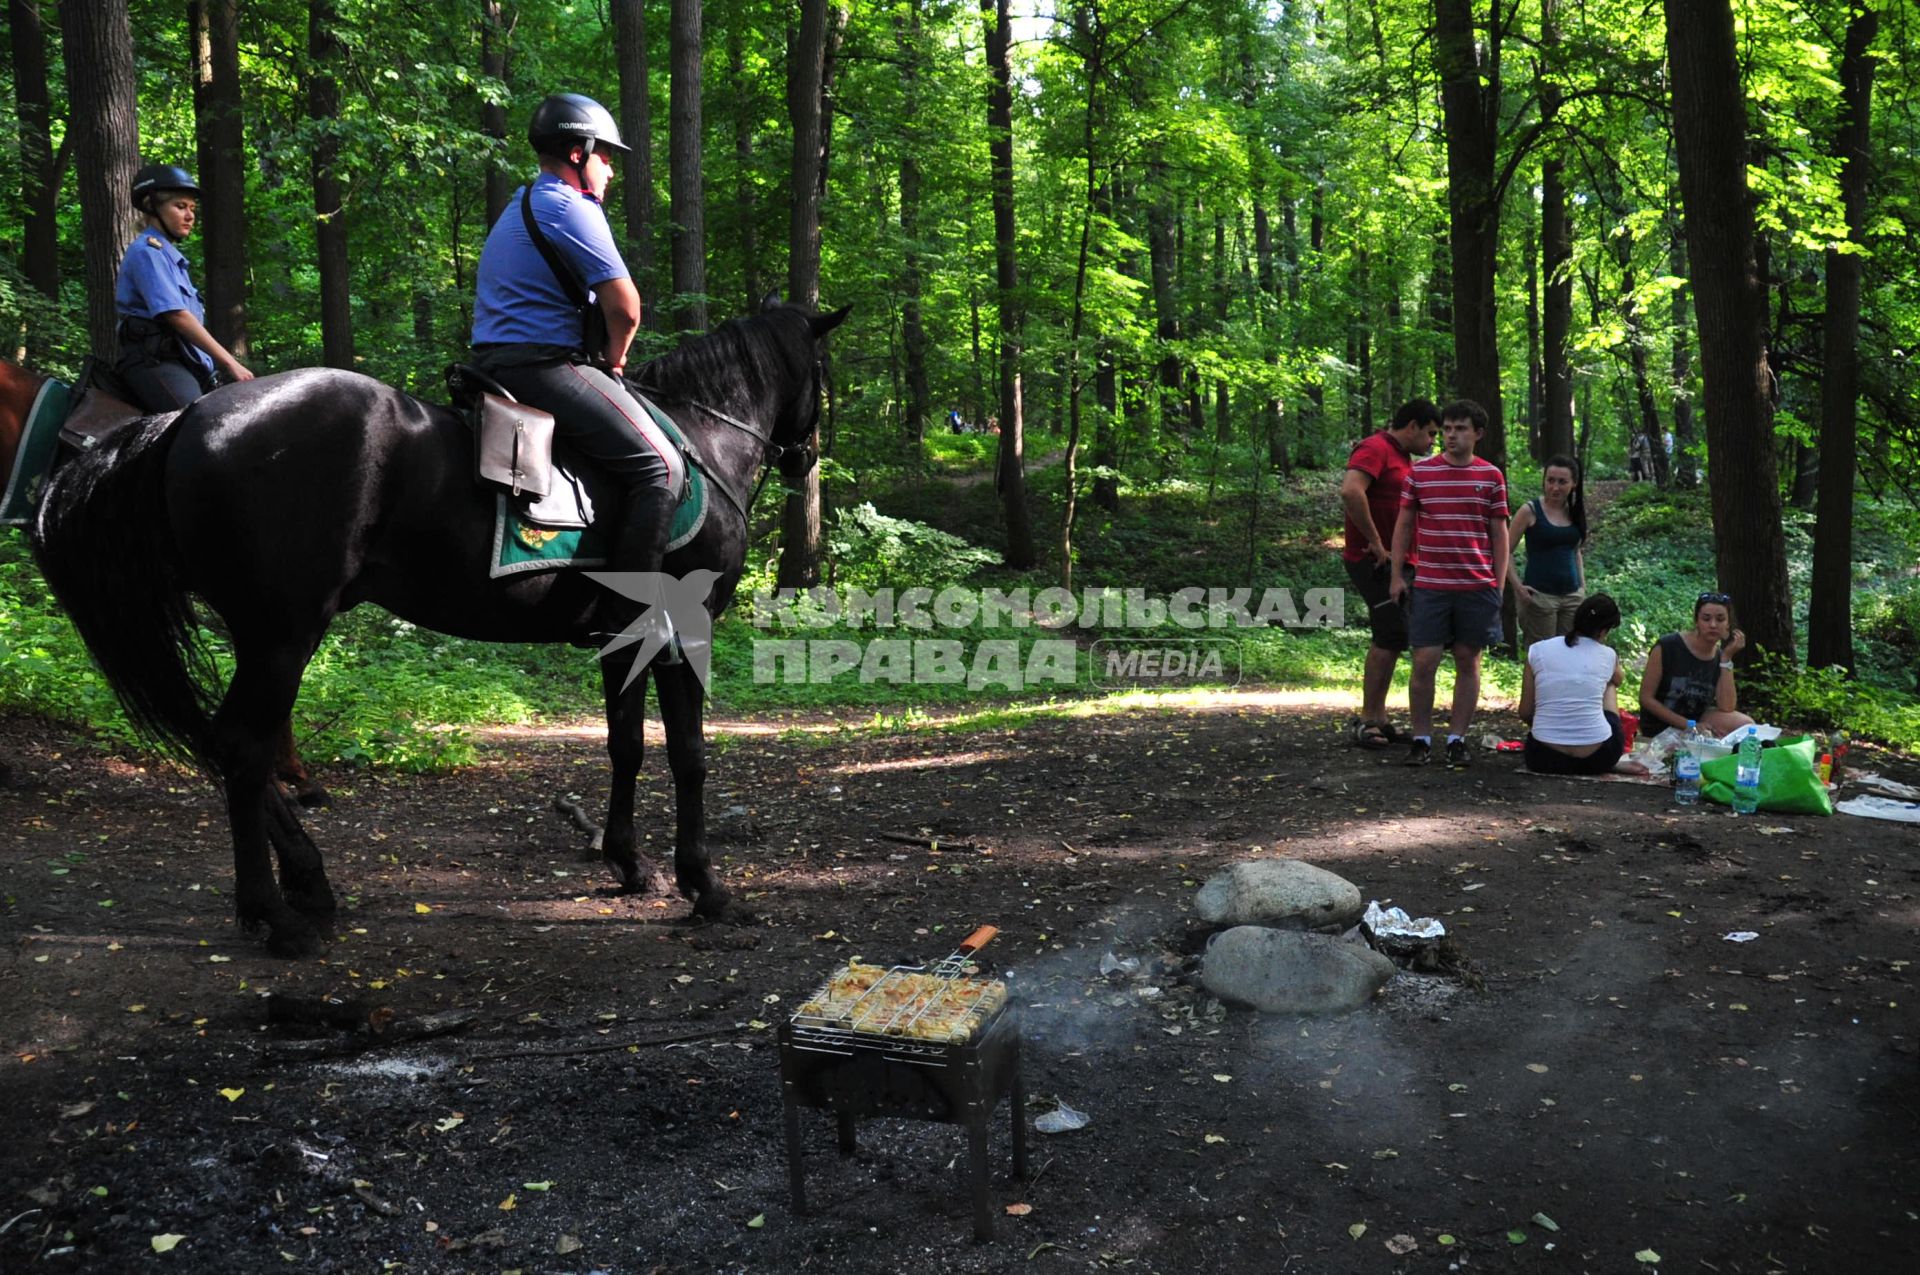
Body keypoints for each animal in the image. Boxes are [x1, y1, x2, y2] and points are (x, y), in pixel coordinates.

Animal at [16, 301, 848, 956]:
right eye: (820, 370)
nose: (804, 457)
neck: (702, 440)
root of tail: (186, 418)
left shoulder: (625, 642)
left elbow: (625, 747)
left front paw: (628, 862)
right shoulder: (684, 630)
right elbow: (688, 756)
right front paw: (704, 883)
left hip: (262, 635)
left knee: (230, 745)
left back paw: (308, 882)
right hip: (283, 633)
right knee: (246, 750)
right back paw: (278, 916)